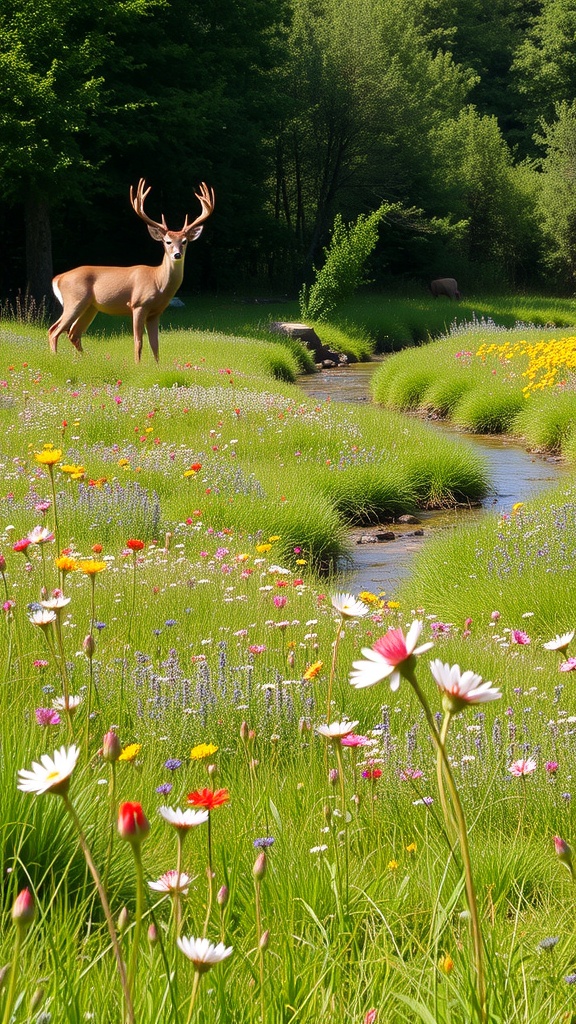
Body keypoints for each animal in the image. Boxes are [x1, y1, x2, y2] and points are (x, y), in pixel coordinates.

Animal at [48, 178, 215, 363]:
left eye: (184, 241)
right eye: (167, 241)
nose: (177, 254)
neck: (158, 281)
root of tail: (58, 278)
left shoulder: (156, 312)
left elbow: (155, 344)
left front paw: (157, 366)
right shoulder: (138, 304)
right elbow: (138, 341)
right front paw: (138, 364)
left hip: (90, 307)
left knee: (73, 333)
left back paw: (85, 359)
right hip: (74, 300)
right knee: (54, 330)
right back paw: (55, 357)